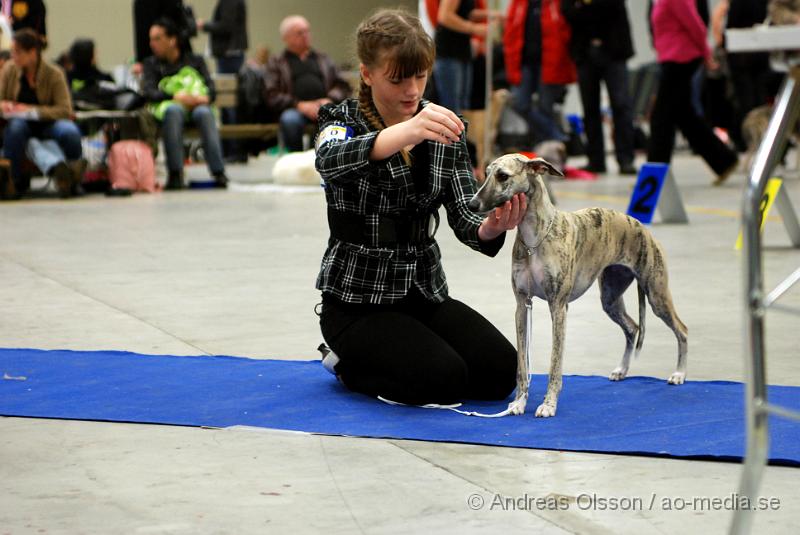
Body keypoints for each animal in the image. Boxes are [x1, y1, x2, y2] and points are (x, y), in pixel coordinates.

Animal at [468, 155, 688, 418]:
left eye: (502, 175)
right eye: (486, 173)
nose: (472, 203)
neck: (535, 239)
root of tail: (639, 225)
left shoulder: (558, 307)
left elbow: (555, 364)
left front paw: (548, 405)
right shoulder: (522, 305)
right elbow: (522, 364)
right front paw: (519, 402)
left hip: (656, 294)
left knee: (682, 330)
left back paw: (679, 374)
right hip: (610, 298)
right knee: (632, 327)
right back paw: (621, 370)